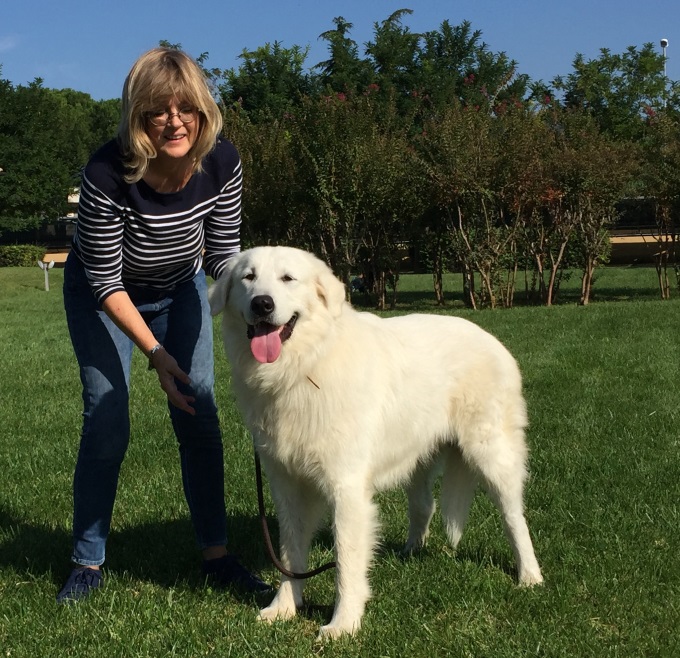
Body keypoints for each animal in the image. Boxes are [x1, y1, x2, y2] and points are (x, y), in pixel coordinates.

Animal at [208, 246, 543, 638]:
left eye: (287, 279)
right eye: (248, 277)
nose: (262, 304)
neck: (304, 366)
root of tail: (491, 339)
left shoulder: (346, 488)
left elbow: (346, 559)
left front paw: (343, 624)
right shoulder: (288, 486)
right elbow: (291, 553)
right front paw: (284, 608)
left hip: (491, 452)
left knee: (514, 516)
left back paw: (529, 575)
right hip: (417, 455)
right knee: (424, 505)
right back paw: (410, 551)